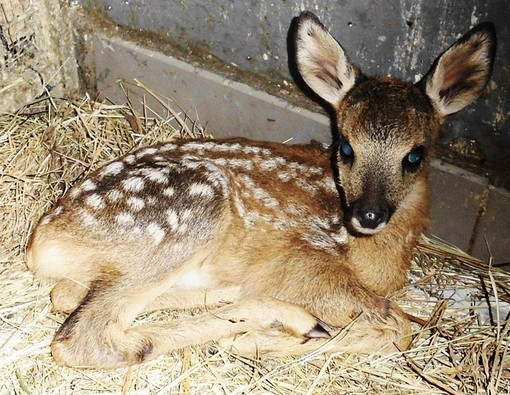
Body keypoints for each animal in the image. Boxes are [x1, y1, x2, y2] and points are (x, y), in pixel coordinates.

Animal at [25, 13, 496, 372]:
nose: (368, 214)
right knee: (85, 338)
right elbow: (398, 325)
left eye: (415, 155)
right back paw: (280, 328)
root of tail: (40, 240)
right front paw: (273, 342)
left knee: (66, 294)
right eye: (345, 147)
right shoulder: (310, 263)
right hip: (193, 211)